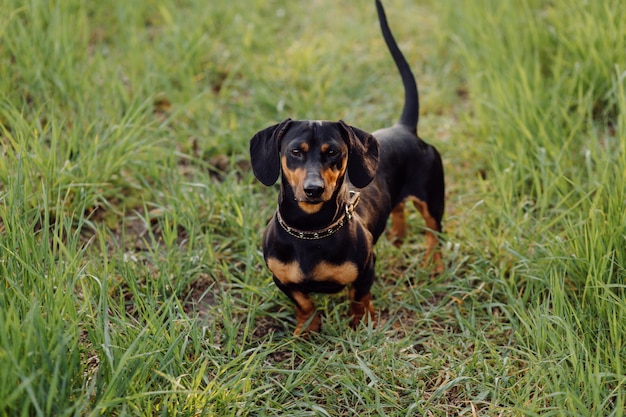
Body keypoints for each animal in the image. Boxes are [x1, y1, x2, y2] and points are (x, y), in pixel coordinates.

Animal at [249, 0, 444, 334]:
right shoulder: (281, 278)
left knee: (435, 235)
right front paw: (307, 329)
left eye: (334, 153)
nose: (314, 190)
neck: (310, 231)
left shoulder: (366, 268)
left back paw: (434, 265)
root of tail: (405, 128)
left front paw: (361, 324)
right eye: (295, 152)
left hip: (433, 200)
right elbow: (304, 302)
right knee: (398, 208)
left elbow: (358, 297)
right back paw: (398, 236)